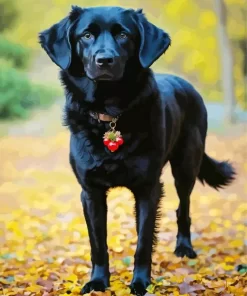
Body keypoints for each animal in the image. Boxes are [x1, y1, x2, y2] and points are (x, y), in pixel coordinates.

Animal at [39, 5, 235, 296]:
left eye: (123, 35)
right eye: (86, 35)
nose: (105, 60)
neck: (111, 113)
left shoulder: (148, 188)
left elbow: (143, 242)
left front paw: (141, 283)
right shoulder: (91, 192)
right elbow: (98, 244)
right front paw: (98, 282)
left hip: (186, 166)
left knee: (183, 208)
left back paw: (184, 248)